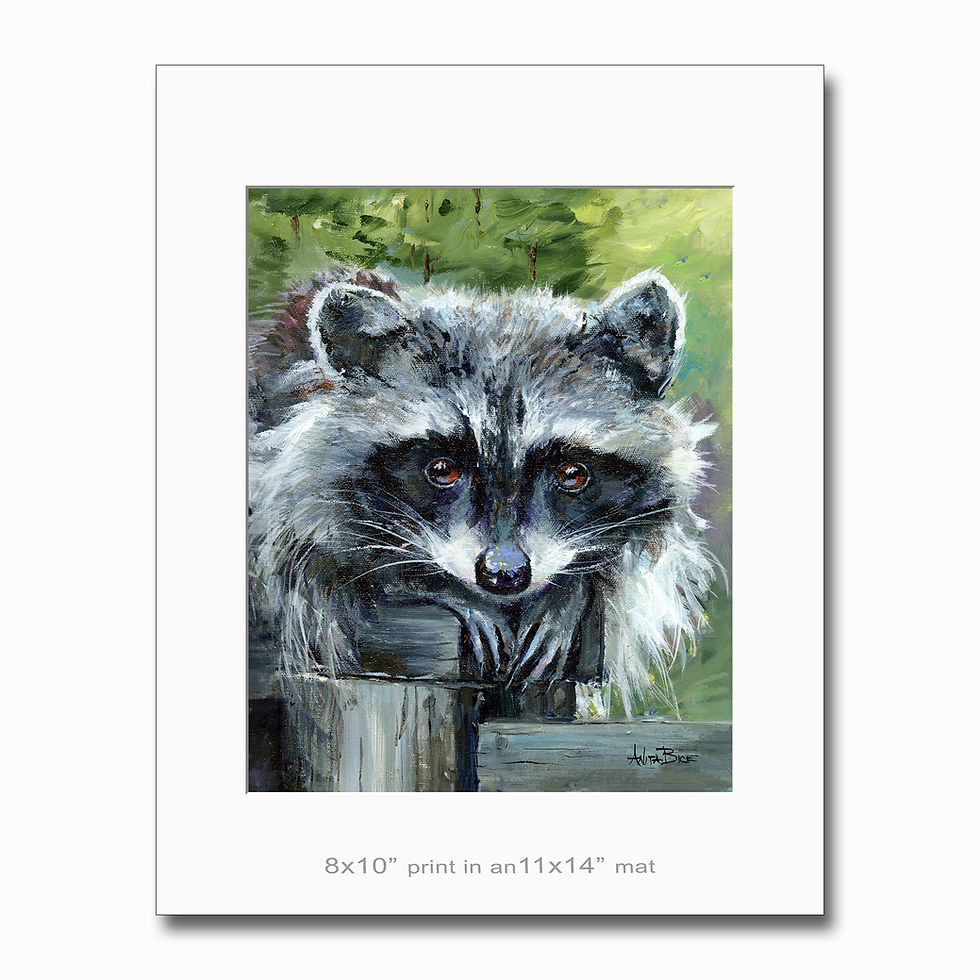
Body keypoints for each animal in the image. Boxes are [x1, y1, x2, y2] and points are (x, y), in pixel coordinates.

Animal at [249, 265, 717, 722]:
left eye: (572, 475)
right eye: (442, 469)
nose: (503, 574)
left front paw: (570, 595)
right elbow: (320, 572)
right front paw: (436, 586)